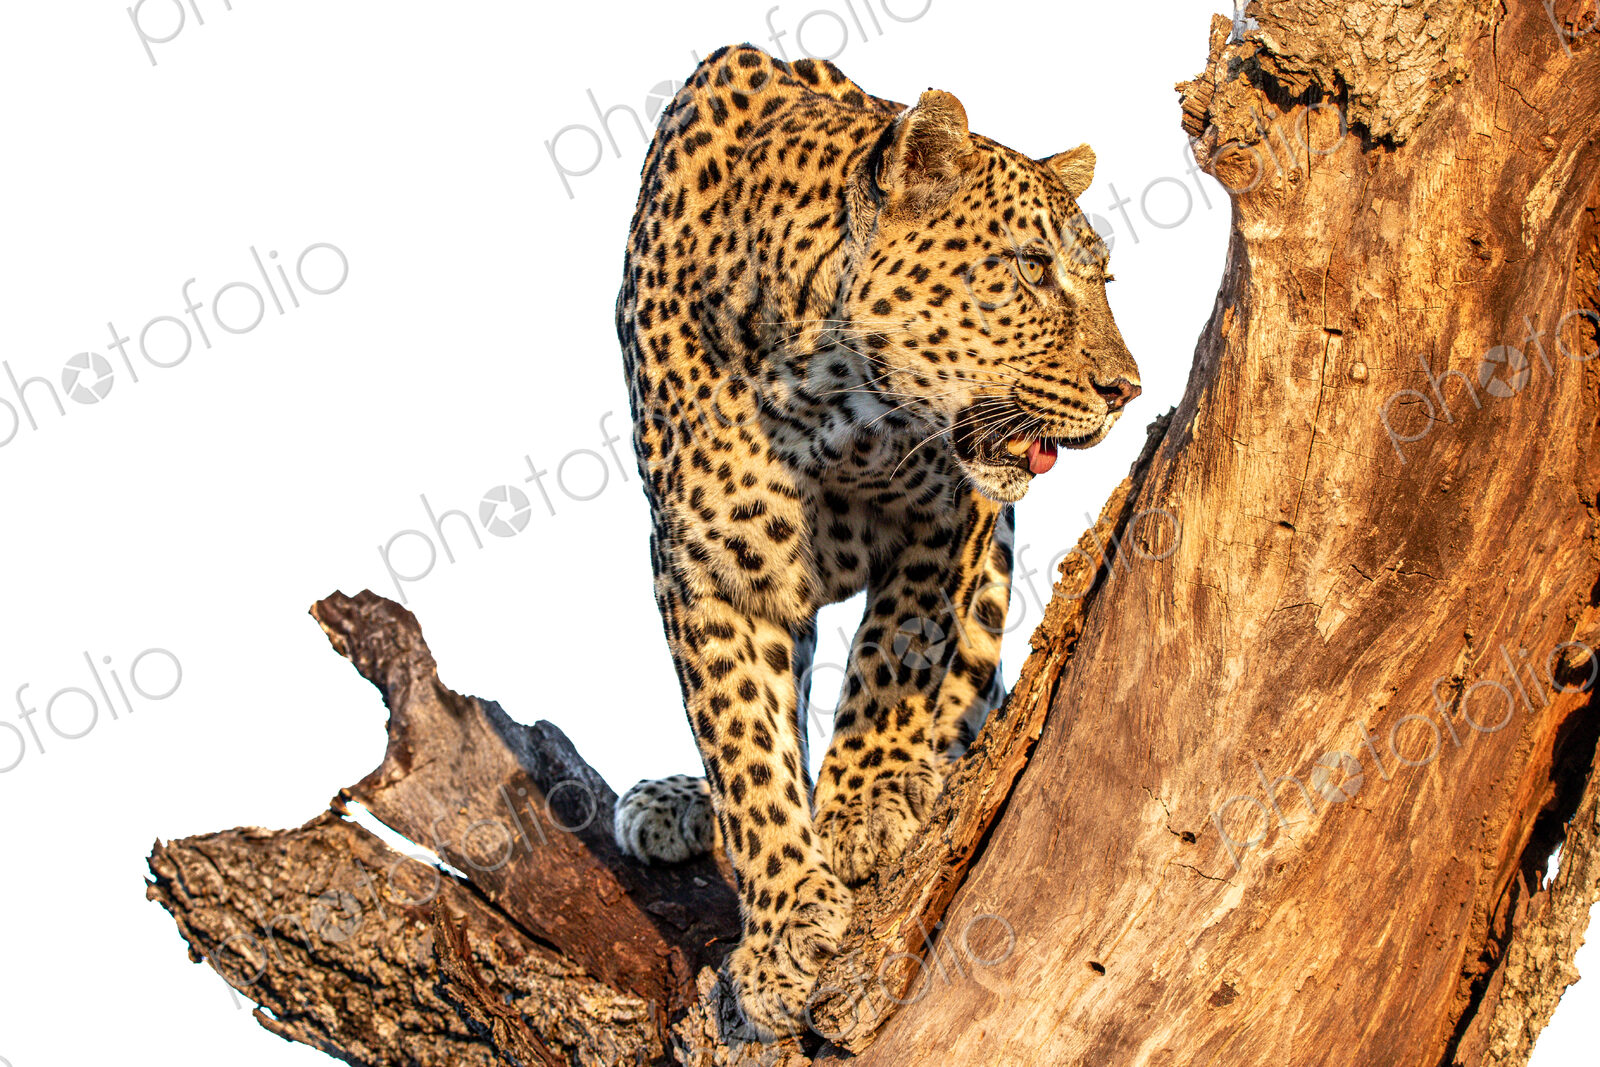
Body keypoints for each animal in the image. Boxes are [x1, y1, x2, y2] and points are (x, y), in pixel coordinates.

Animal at [611, 43, 1139, 1038]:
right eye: (1031, 266)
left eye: (1102, 281)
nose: (1127, 388)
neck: (822, 397)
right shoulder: (703, 567)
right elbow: (743, 740)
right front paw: (783, 926)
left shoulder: (956, 513)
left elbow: (900, 648)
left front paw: (866, 806)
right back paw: (672, 802)